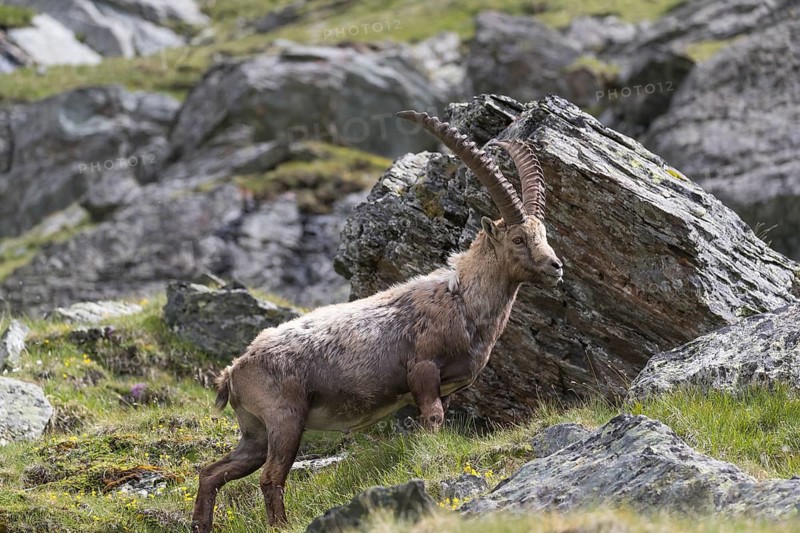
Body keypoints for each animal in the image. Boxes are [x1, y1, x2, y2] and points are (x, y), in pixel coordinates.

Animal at [191, 110, 563, 532]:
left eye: (543, 234)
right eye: (518, 239)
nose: (556, 266)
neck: (463, 300)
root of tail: (234, 370)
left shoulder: (448, 385)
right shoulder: (422, 368)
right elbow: (432, 417)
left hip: (254, 432)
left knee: (213, 472)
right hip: (286, 418)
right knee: (271, 477)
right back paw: (281, 525)